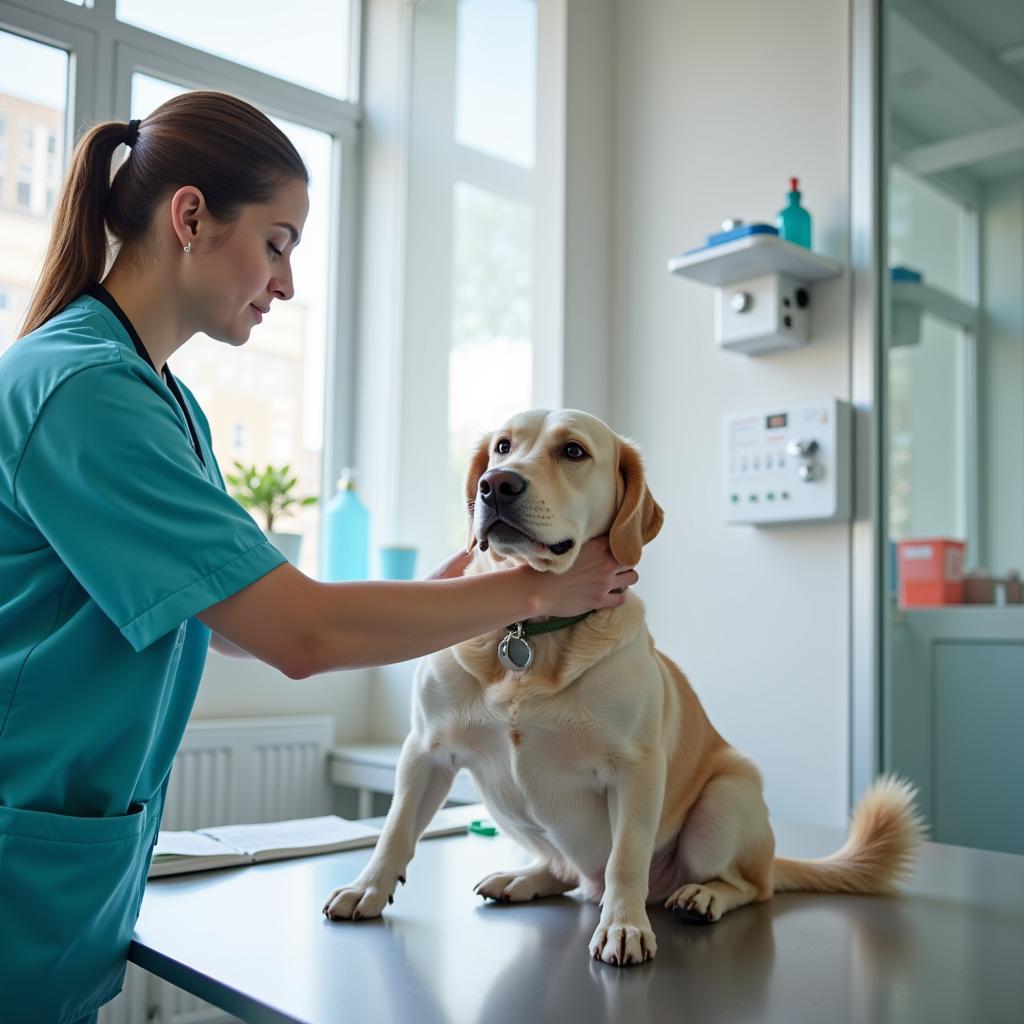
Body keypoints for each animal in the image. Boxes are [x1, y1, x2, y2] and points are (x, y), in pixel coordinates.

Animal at [323, 409, 925, 966]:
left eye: (573, 450)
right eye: (502, 447)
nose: (496, 485)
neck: (530, 637)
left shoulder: (637, 769)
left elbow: (625, 858)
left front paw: (624, 927)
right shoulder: (425, 750)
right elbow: (395, 830)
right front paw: (366, 888)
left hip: (727, 798)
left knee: (751, 886)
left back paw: (702, 895)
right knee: (568, 872)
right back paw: (526, 877)